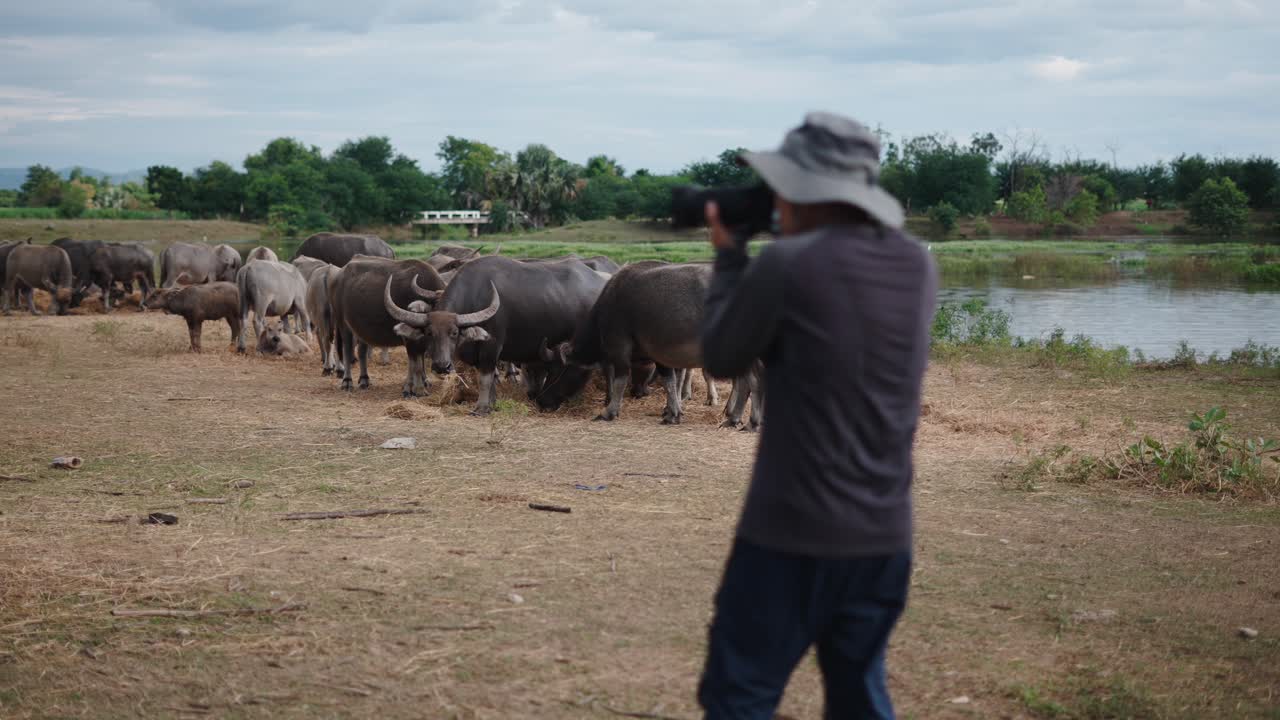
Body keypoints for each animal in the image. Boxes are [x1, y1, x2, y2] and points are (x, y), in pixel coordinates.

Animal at [383, 255, 607, 414]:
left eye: (454, 333)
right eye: (429, 333)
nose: (441, 366)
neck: (475, 296)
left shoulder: (492, 346)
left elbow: (485, 377)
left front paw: (481, 408)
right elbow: (488, 380)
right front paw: (492, 403)